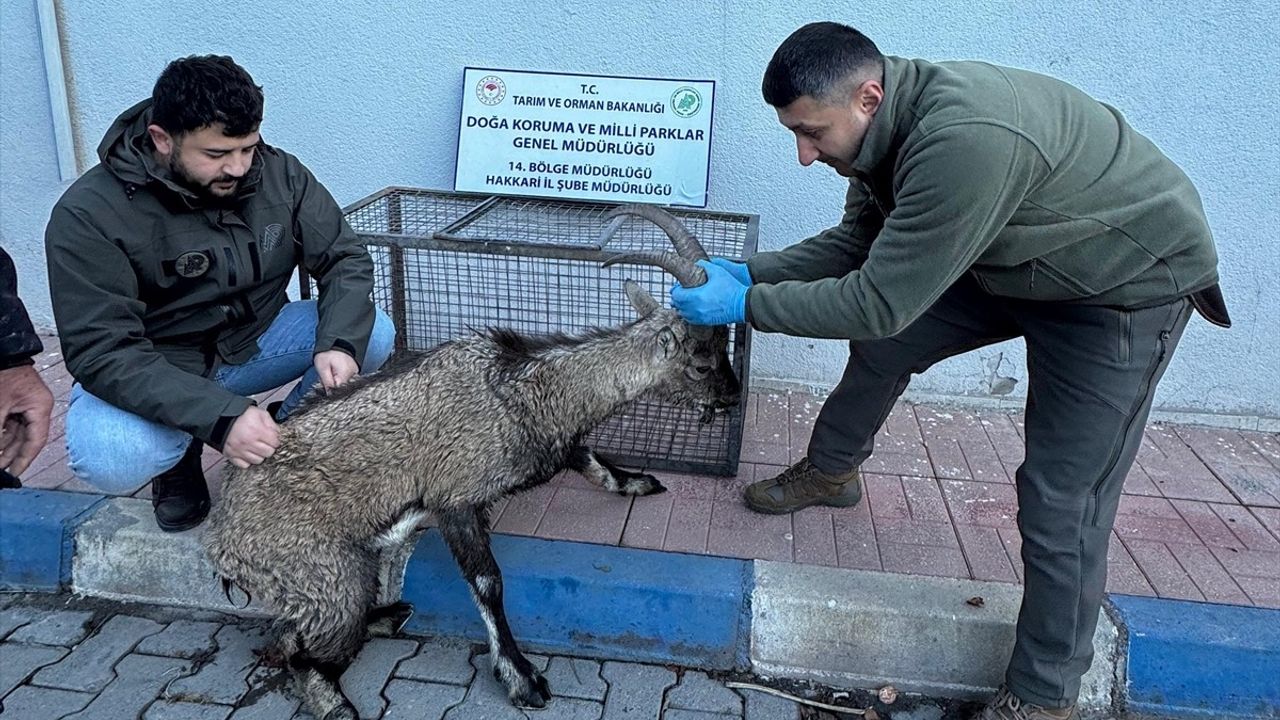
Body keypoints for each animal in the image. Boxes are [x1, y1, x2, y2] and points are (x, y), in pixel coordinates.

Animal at [200, 203, 742, 717]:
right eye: (700, 363)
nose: (733, 397)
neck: (521, 388)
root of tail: (223, 542)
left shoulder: (557, 444)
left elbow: (592, 461)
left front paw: (639, 482)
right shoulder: (456, 499)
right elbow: (488, 582)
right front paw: (523, 678)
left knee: (291, 635)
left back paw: (390, 615)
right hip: (328, 578)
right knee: (302, 654)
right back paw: (340, 701)